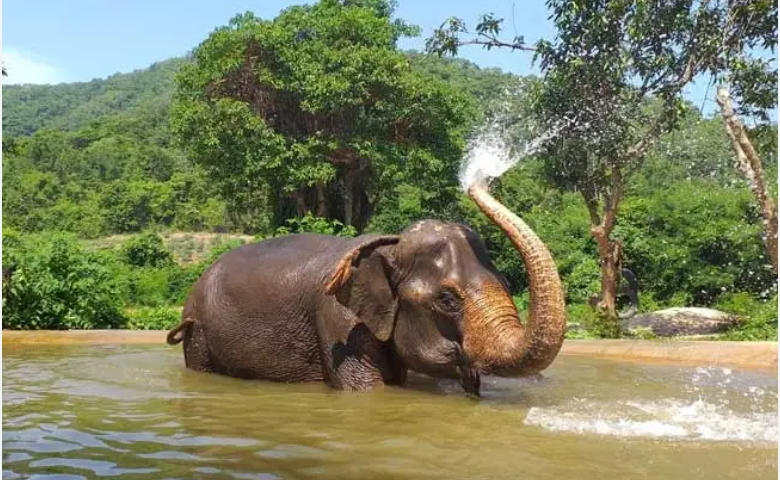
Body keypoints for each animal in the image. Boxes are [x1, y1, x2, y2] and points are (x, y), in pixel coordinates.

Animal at [167, 178, 566, 395]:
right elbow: (365, 389)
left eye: (506, 282)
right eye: (447, 298)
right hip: (199, 335)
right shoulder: (337, 321)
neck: (390, 246)